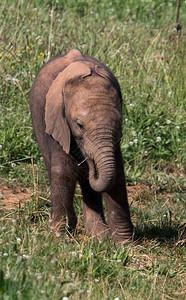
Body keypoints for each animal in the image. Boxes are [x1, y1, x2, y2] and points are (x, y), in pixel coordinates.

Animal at [29, 48, 133, 243]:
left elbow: (117, 173)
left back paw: (98, 236)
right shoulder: (57, 122)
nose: (89, 160)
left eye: (120, 123)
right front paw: (59, 238)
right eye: (79, 125)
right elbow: (62, 172)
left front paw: (124, 243)